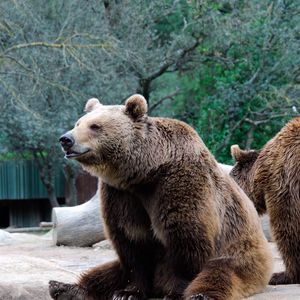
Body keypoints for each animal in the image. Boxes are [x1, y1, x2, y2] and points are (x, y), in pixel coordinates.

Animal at [49, 94, 272, 300]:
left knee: (218, 274)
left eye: (95, 126)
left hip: (239, 254)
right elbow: (132, 242)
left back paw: (199, 295)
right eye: (78, 123)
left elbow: (186, 238)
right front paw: (127, 293)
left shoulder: (177, 183)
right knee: (108, 272)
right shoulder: (121, 194)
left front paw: (175, 292)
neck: (144, 172)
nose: (66, 139)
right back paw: (64, 287)